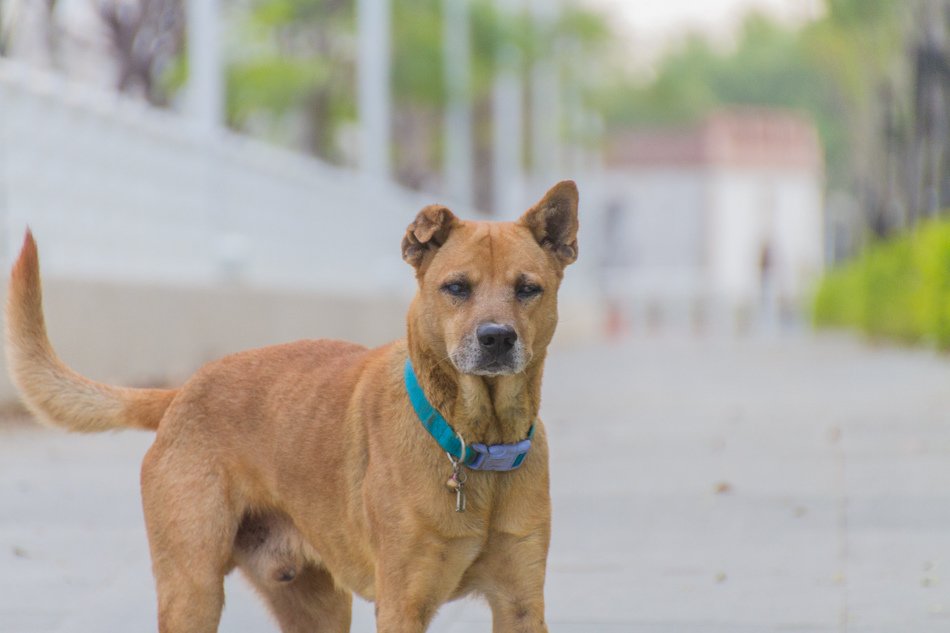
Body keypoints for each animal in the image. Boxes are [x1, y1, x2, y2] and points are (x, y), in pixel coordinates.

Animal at [5, 180, 580, 628]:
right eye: (456, 287)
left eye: (528, 289)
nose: (496, 338)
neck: (474, 440)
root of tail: (183, 391)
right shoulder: (402, 604)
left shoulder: (521, 603)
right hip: (193, 589)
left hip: (316, 605)